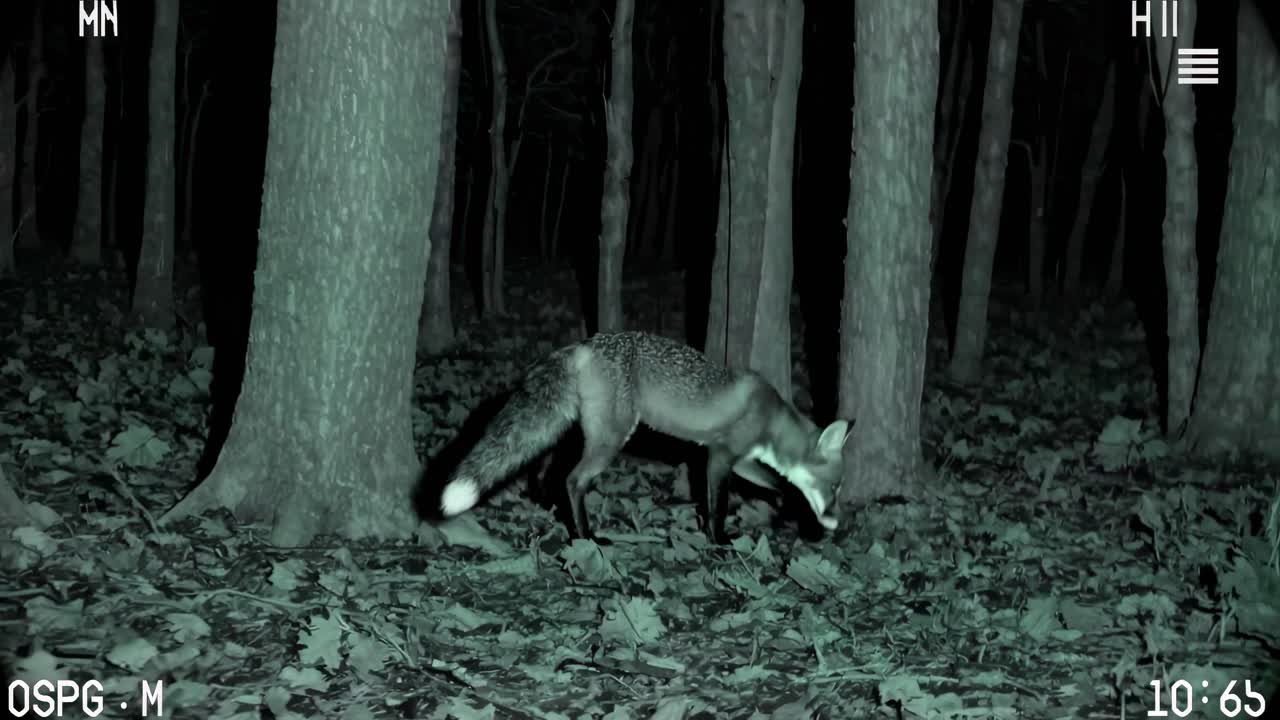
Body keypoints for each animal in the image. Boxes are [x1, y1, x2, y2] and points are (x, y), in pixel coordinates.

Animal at [437, 331, 852, 543]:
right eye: (833, 487)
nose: (835, 523)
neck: (771, 416)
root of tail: (584, 344)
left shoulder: (744, 461)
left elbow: (779, 486)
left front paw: (783, 510)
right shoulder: (719, 456)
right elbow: (717, 507)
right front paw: (718, 544)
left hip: (579, 426)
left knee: (548, 469)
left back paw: (547, 501)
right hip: (613, 436)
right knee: (573, 479)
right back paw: (586, 537)